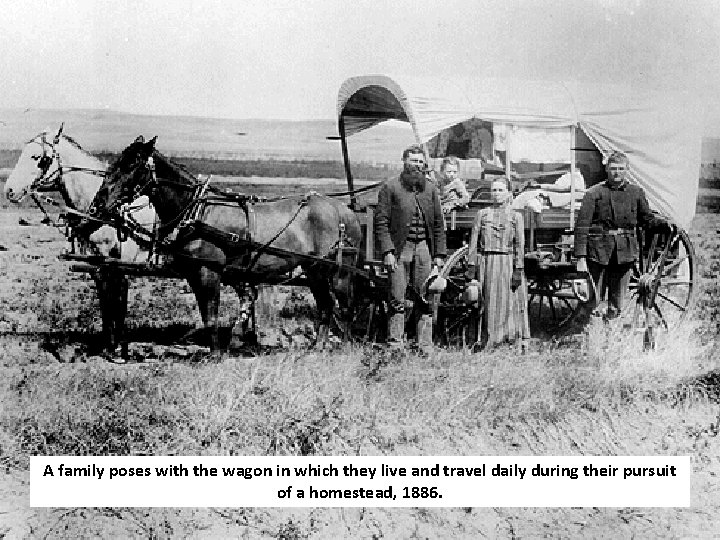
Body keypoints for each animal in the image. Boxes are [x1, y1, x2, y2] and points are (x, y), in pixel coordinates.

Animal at [3, 124, 156, 356]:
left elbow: (118, 300)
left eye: (38, 157)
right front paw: (108, 345)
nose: (9, 191)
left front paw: (119, 349)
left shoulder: (118, 264)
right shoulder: (95, 264)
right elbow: (105, 301)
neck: (106, 210)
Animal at [88, 136, 362, 350]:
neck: (197, 211)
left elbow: (211, 315)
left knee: (346, 307)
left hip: (339, 271)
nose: (98, 203)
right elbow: (207, 314)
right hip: (314, 270)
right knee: (326, 306)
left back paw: (346, 348)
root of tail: (344, 211)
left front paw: (217, 354)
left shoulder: (209, 272)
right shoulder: (194, 273)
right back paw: (318, 348)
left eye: (132, 164)